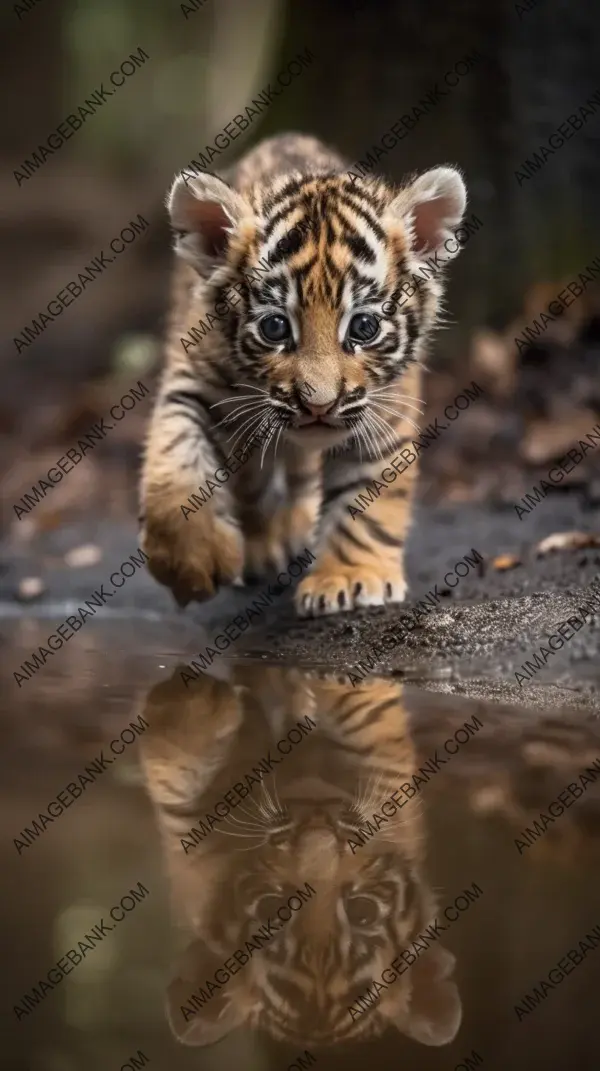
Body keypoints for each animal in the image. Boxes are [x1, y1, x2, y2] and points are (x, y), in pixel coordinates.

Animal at [141, 131, 469, 621]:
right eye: (275, 327)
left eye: (364, 327)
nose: (319, 404)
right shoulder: (195, 384)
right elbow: (175, 461)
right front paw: (191, 563)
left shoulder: (382, 413)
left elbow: (365, 499)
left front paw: (349, 577)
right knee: (254, 483)